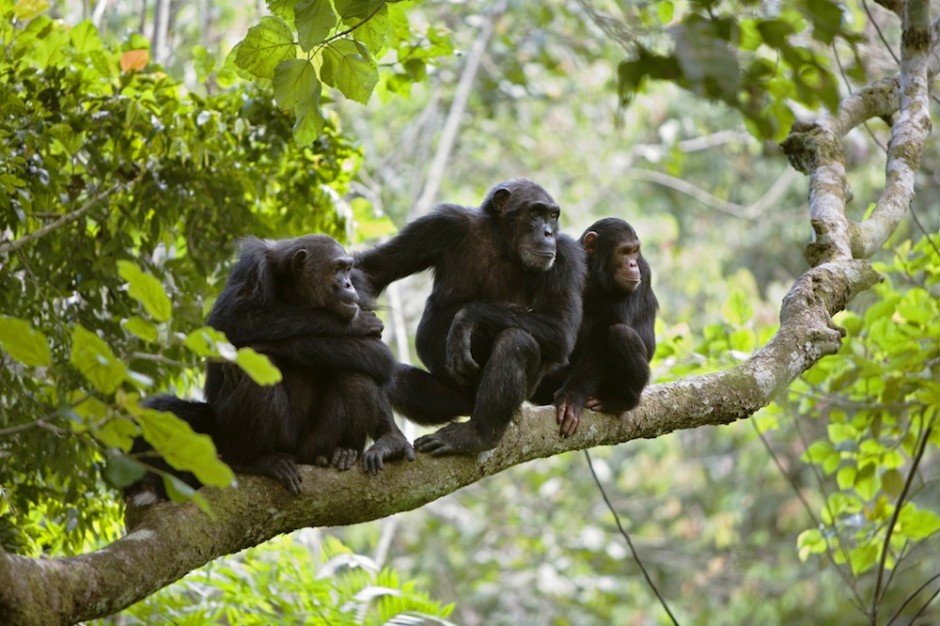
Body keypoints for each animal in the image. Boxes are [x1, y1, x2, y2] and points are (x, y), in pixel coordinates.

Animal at [127, 233, 412, 498]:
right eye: (336, 268)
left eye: (347, 268)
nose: (347, 283)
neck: (298, 291)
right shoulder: (252, 268)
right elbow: (233, 320)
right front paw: (356, 323)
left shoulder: (360, 291)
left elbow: (377, 354)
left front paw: (391, 437)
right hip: (240, 440)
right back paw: (256, 460)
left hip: (312, 446)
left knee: (357, 373)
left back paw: (348, 450)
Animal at [356, 176, 584, 454]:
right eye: (536, 213)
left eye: (553, 216)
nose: (548, 232)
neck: (502, 243)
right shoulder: (441, 224)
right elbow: (372, 271)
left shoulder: (567, 256)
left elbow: (560, 328)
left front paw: (465, 320)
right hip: (451, 399)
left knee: (516, 342)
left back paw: (477, 435)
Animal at [532, 217, 656, 436]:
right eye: (624, 251)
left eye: (634, 251)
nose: (632, 264)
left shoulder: (643, 272)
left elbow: (603, 337)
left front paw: (572, 397)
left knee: (621, 334)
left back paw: (619, 401)